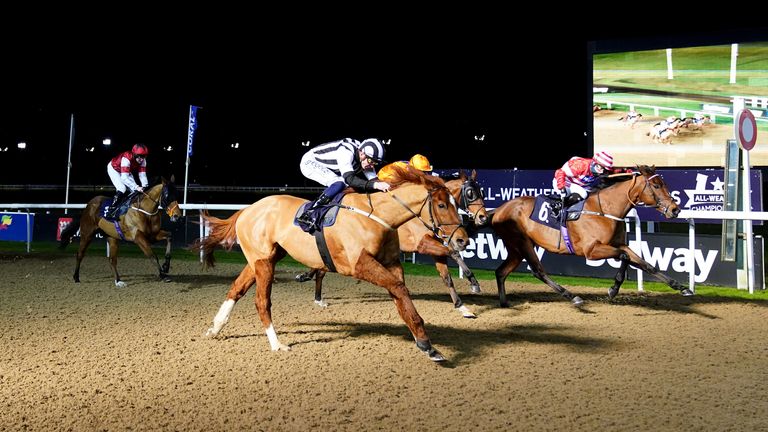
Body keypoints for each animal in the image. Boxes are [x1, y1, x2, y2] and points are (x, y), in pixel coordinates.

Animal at [192, 165, 468, 362]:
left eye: (456, 204)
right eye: (441, 205)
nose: (463, 239)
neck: (378, 216)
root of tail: (247, 209)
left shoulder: (391, 263)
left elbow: (401, 295)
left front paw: (426, 343)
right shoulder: (359, 265)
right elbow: (399, 289)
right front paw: (426, 341)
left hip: (263, 258)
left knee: (236, 289)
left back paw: (215, 328)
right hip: (263, 262)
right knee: (261, 302)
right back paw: (276, 343)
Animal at [296, 169, 488, 318]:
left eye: (483, 192)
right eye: (470, 193)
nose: (483, 217)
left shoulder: (434, 246)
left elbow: (447, 277)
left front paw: (462, 307)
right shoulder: (422, 243)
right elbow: (453, 252)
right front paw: (473, 282)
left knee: (321, 265)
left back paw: (310, 280)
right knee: (322, 268)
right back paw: (316, 294)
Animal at [492, 165, 696, 308]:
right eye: (656, 185)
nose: (675, 209)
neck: (605, 209)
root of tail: (498, 210)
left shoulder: (619, 244)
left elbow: (645, 264)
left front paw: (682, 288)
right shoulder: (591, 250)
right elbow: (624, 257)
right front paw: (613, 290)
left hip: (517, 248)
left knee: (501, 271)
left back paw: (504, 303)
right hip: (522, 243)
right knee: (538, 271)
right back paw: (573, 297)